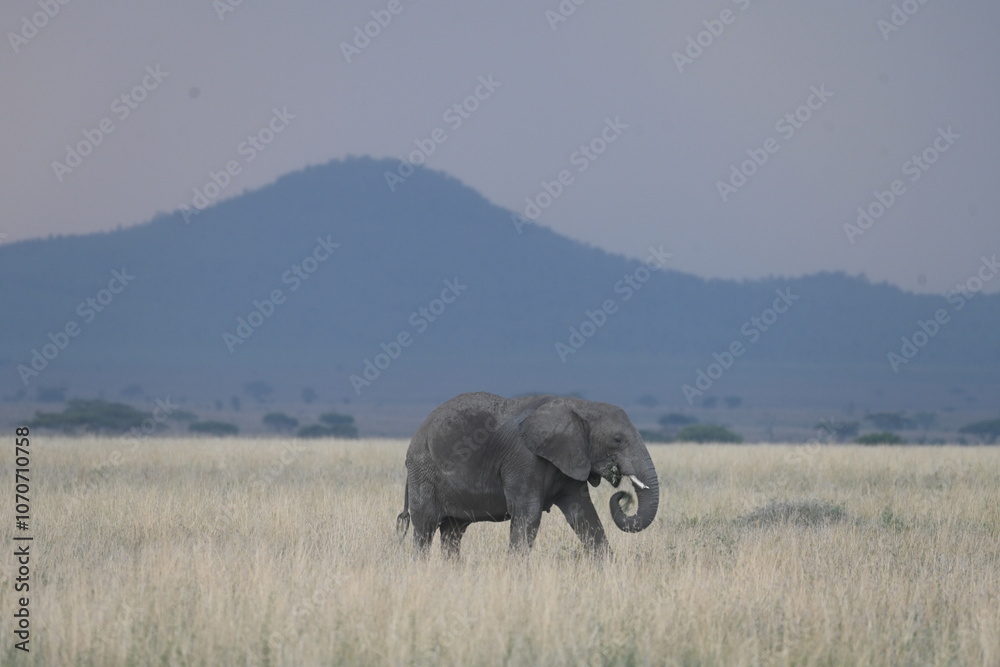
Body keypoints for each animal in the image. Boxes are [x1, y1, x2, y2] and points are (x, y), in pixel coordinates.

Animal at [396, 392, 659, 557]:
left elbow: (584, 514)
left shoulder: (570, 458)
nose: (622, 494)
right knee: (425, 526)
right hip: (424, 470)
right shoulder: (523, 459)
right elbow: (527, 514)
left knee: (453, 531)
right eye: (617, 440)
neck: (579, 405)